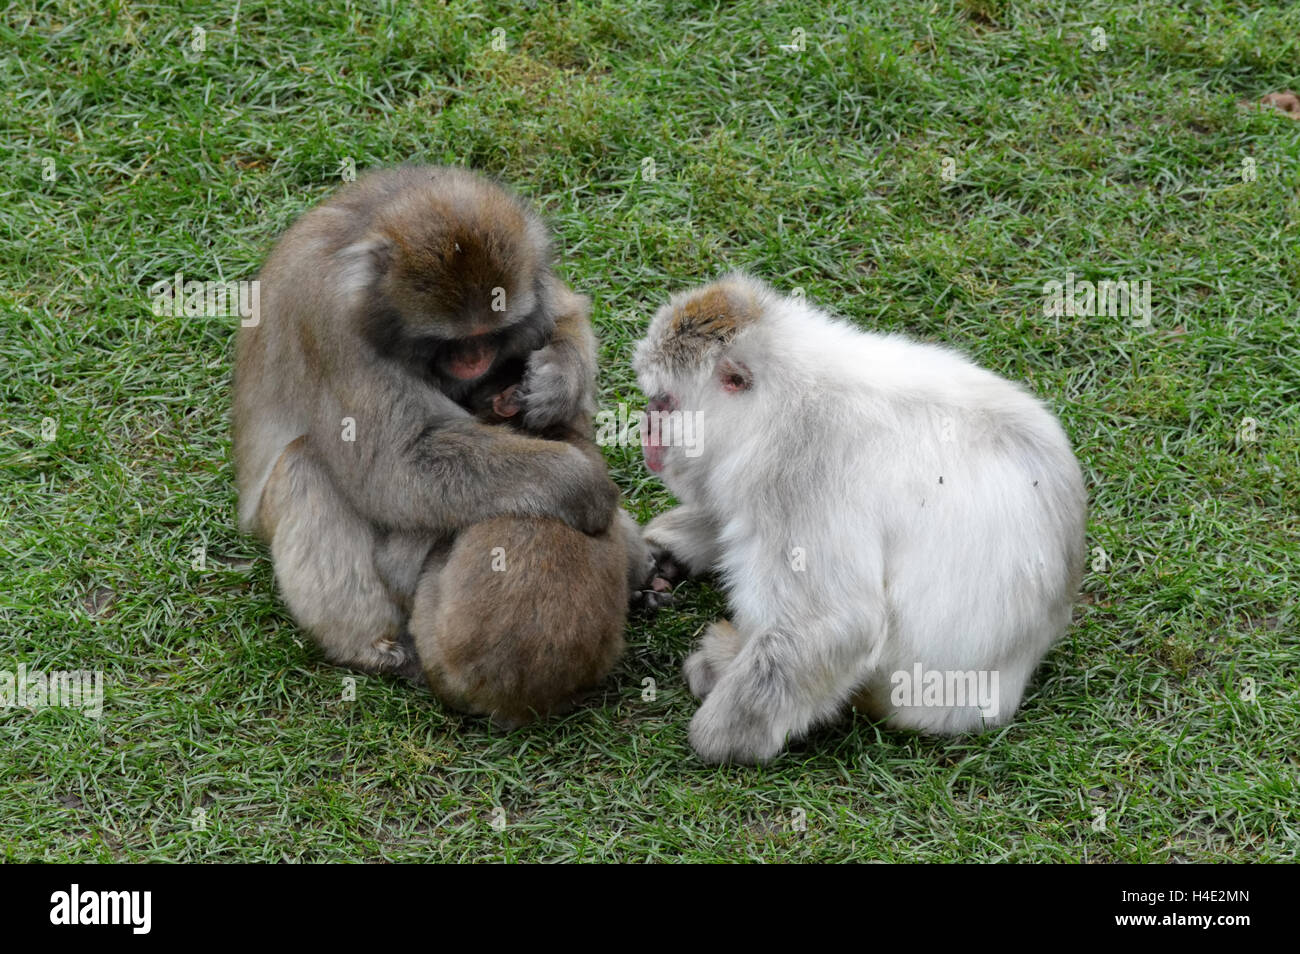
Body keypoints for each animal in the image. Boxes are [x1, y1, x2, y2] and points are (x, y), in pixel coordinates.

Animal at [629, 272, 1086, 764]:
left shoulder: (797, 474)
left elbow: (835, 621)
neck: (783, 402)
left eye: (664, 401)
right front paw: (671, 549)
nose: (645, 427)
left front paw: (721, 738)